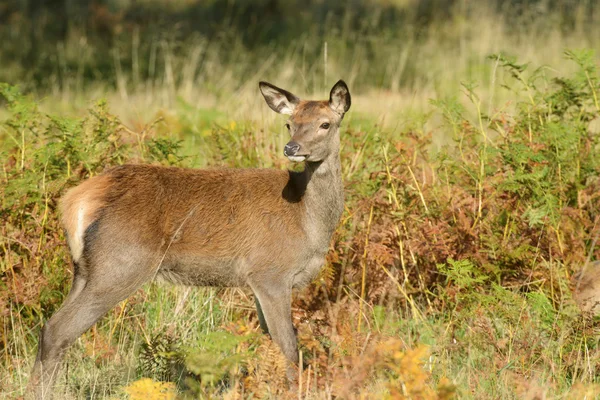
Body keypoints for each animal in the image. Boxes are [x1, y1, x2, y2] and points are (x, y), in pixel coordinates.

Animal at [28, 79, 352, 398]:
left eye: (325, 124)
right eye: (289, 123)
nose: (292, 147)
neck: (308, 221)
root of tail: (75, 200)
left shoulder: (260, 281)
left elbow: (268, 342)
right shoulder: (270, 272)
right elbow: (288, 345)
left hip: (84, 270)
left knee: (49, 326)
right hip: (120, 264)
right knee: (59, 330)